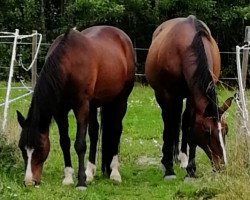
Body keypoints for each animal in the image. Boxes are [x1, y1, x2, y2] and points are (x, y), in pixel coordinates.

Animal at [16, 25, 136, 190]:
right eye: (22, 147)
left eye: (39, 147)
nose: (29, 181)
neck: (69, 63)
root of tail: (122, 36)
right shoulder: (60, 111)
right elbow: (64, 142)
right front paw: (68, 178)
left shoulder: (81, 106)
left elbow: (80, 144)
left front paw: (81, 182)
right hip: (94, 104)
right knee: (94, 133)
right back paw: (90, 173)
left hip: (121, 100)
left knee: (116, 131)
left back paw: (115, 174)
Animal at [146, 14, 233, 179]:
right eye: (207, 132)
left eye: (226, 130)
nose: (222, 166)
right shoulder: (168, 94)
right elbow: (170, 126)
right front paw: (168, 168)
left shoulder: (193, 98)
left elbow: (189, 125)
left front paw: (191, 169)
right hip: (164, 96)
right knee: (170, 121)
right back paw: (170, 158)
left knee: (180, 121)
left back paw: (181, 158)